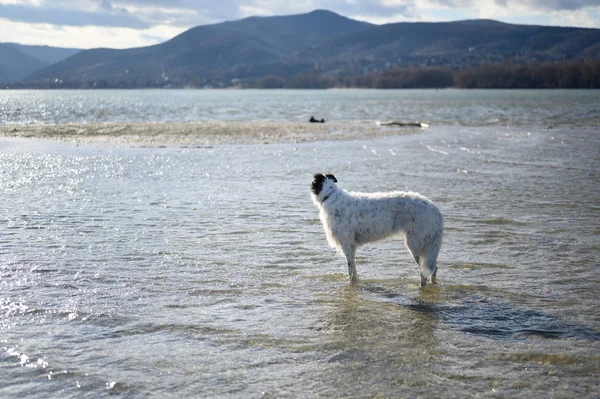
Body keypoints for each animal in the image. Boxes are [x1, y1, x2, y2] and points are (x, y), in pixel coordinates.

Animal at [312, 173, 442, 286]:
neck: (330, 195)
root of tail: (435, 210)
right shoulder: (352, 246)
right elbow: (354, 269)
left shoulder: (346, 244)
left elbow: (350, 269)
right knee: (434, 268)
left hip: (415, 245)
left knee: (424, 271)